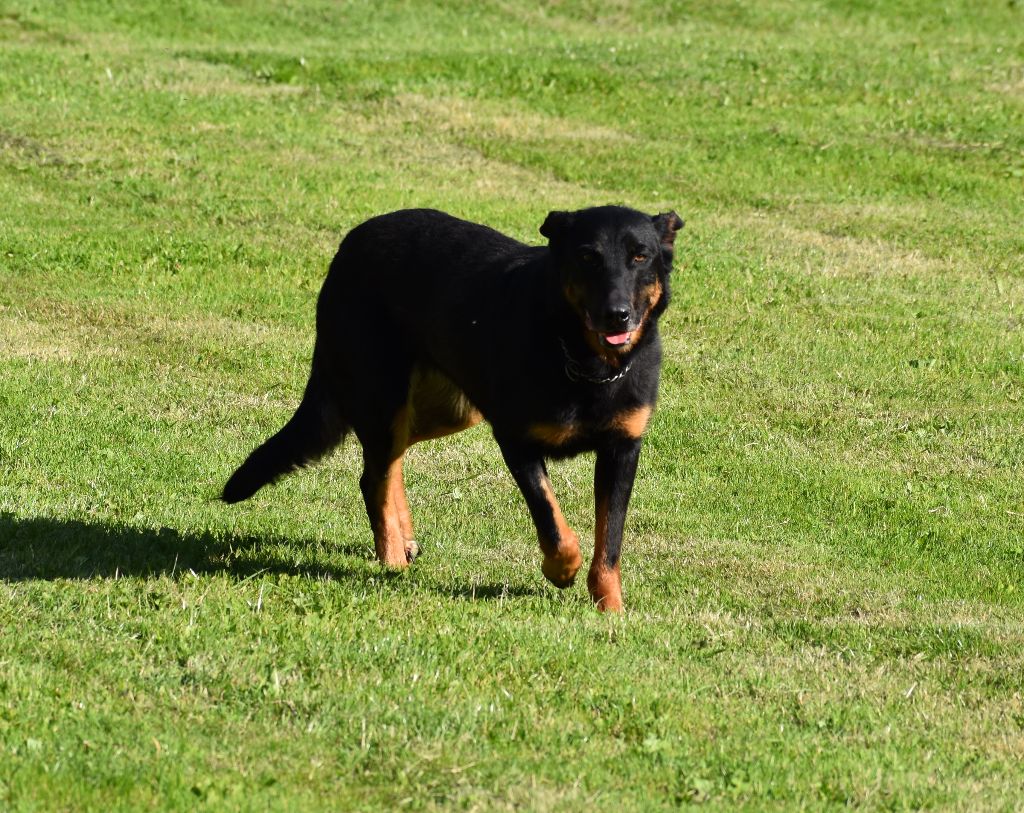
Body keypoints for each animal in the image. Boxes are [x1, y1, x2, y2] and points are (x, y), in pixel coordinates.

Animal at [228, 205, 684, 610]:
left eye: (640, 256)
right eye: (588, 257)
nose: (617, 316)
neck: (584, 362)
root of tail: (351, 242)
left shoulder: (622, 450)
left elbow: (610, 539)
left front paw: (611, 609)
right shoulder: (515, 438)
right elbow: (551, 517)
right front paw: (561, 569)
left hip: (449, 409)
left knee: (387, 463)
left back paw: (403, 538)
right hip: (385, 396)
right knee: (374, 477)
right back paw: (392, 559)